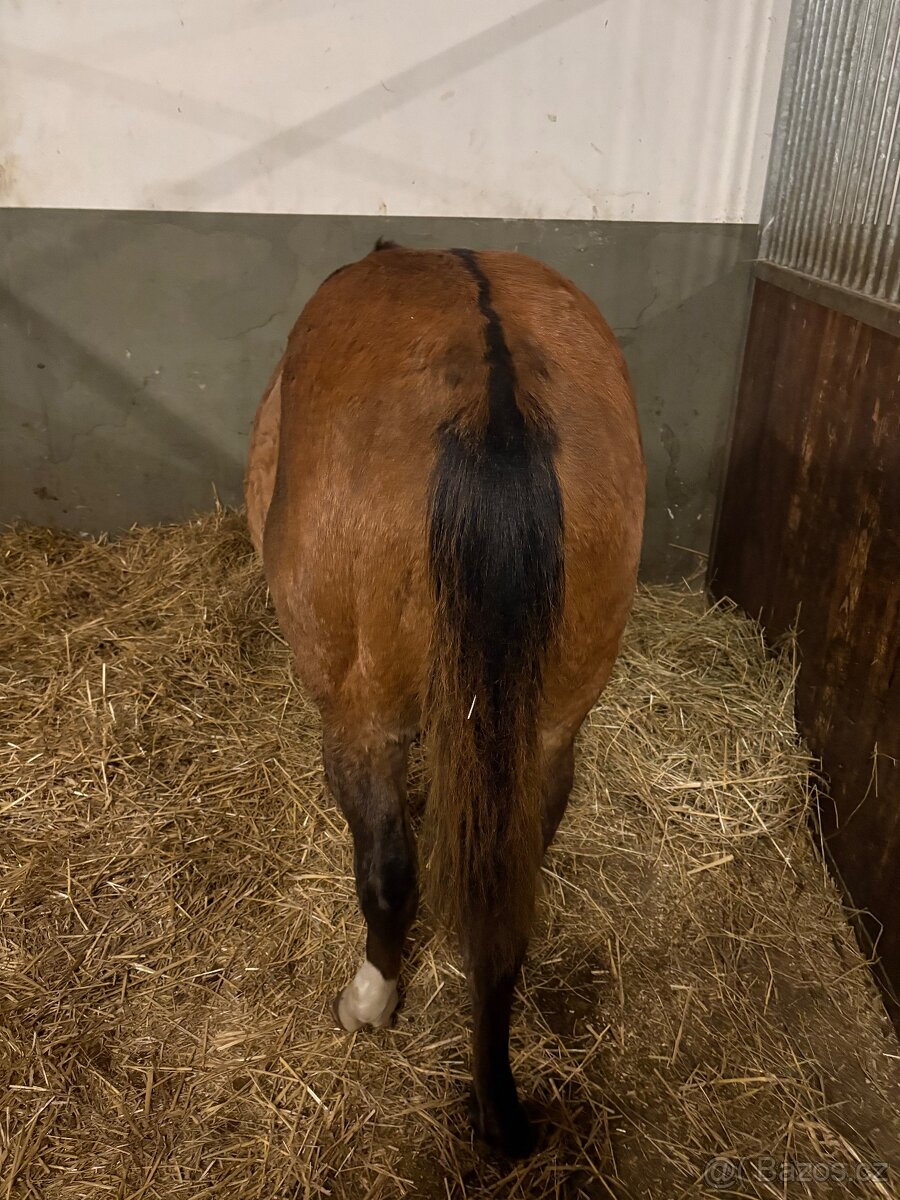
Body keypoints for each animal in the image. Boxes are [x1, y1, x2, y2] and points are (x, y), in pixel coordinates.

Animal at [244, 239, 645, 1158]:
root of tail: (490, 397)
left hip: (359, 718)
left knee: (389, 873)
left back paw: (370, 998)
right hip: (547, 733)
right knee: (507, 893)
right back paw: (497, 1098)